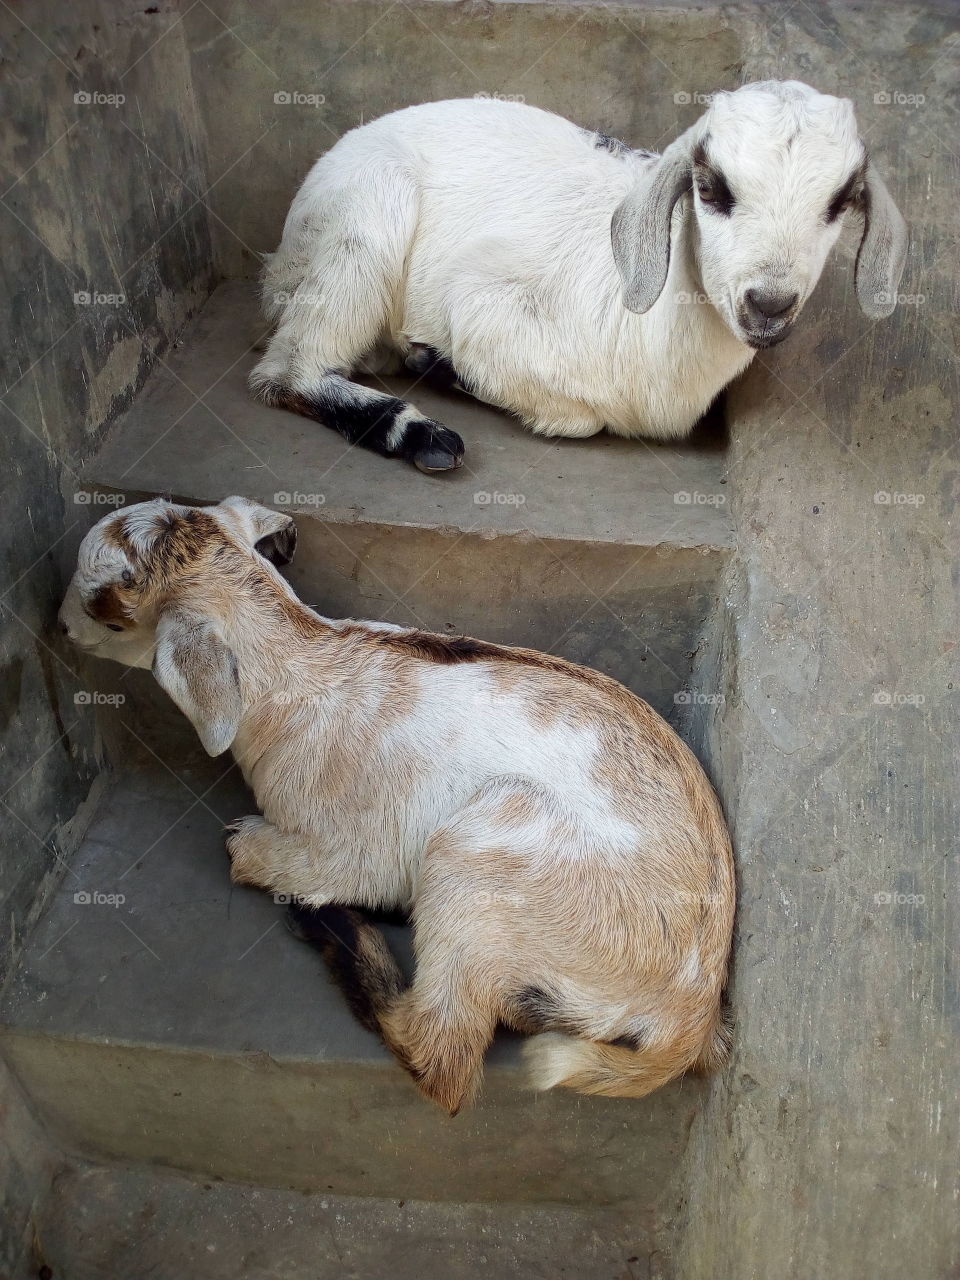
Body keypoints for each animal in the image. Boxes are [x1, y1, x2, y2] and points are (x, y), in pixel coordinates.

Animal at [60, 496, 735, 1113]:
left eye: (107, 614)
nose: (61, 627)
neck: (299, 664)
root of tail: (688, 1017)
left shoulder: (349, 847)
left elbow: (252, 852)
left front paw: (256, 855)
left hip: (484, 862)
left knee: (442, 1056)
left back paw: (334, 927)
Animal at [251, 80, 906, 472]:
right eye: (713, 187)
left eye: (841, 202)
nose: (768, 304)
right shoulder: (481, 296)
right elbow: (579, 420)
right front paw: (441, 365)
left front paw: (431, 360)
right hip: (365, 221)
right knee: (286, 372)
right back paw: (415, 432)